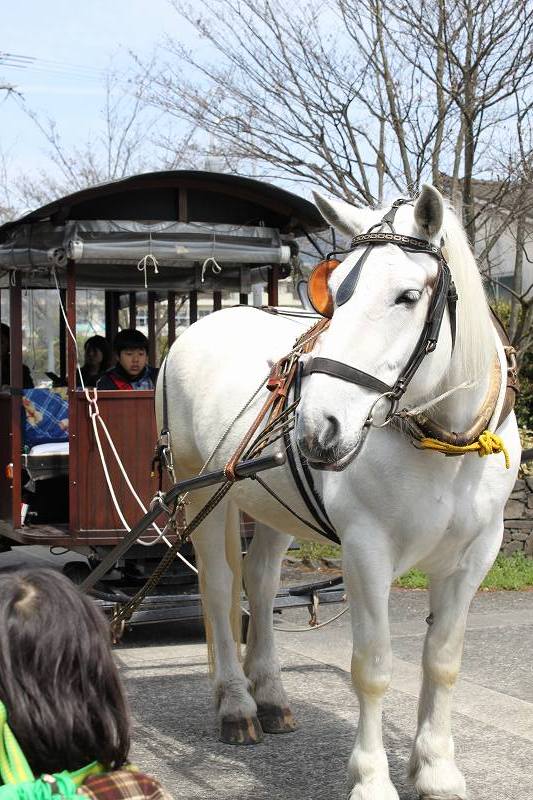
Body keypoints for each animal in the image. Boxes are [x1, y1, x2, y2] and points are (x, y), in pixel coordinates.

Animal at [157, 184, 520, 796]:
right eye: (336, 293)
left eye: (406, 296)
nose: (315, 427)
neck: (443, 444)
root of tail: (206, 321)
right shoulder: (366, 549)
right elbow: (372, 668)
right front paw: (372, 778)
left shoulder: (475, 553)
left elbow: (443, 661)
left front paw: (437, 768)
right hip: (203, 492)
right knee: (220, 585)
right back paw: (236, 704)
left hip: (272, 504)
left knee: (260, 581)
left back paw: (270, 695)